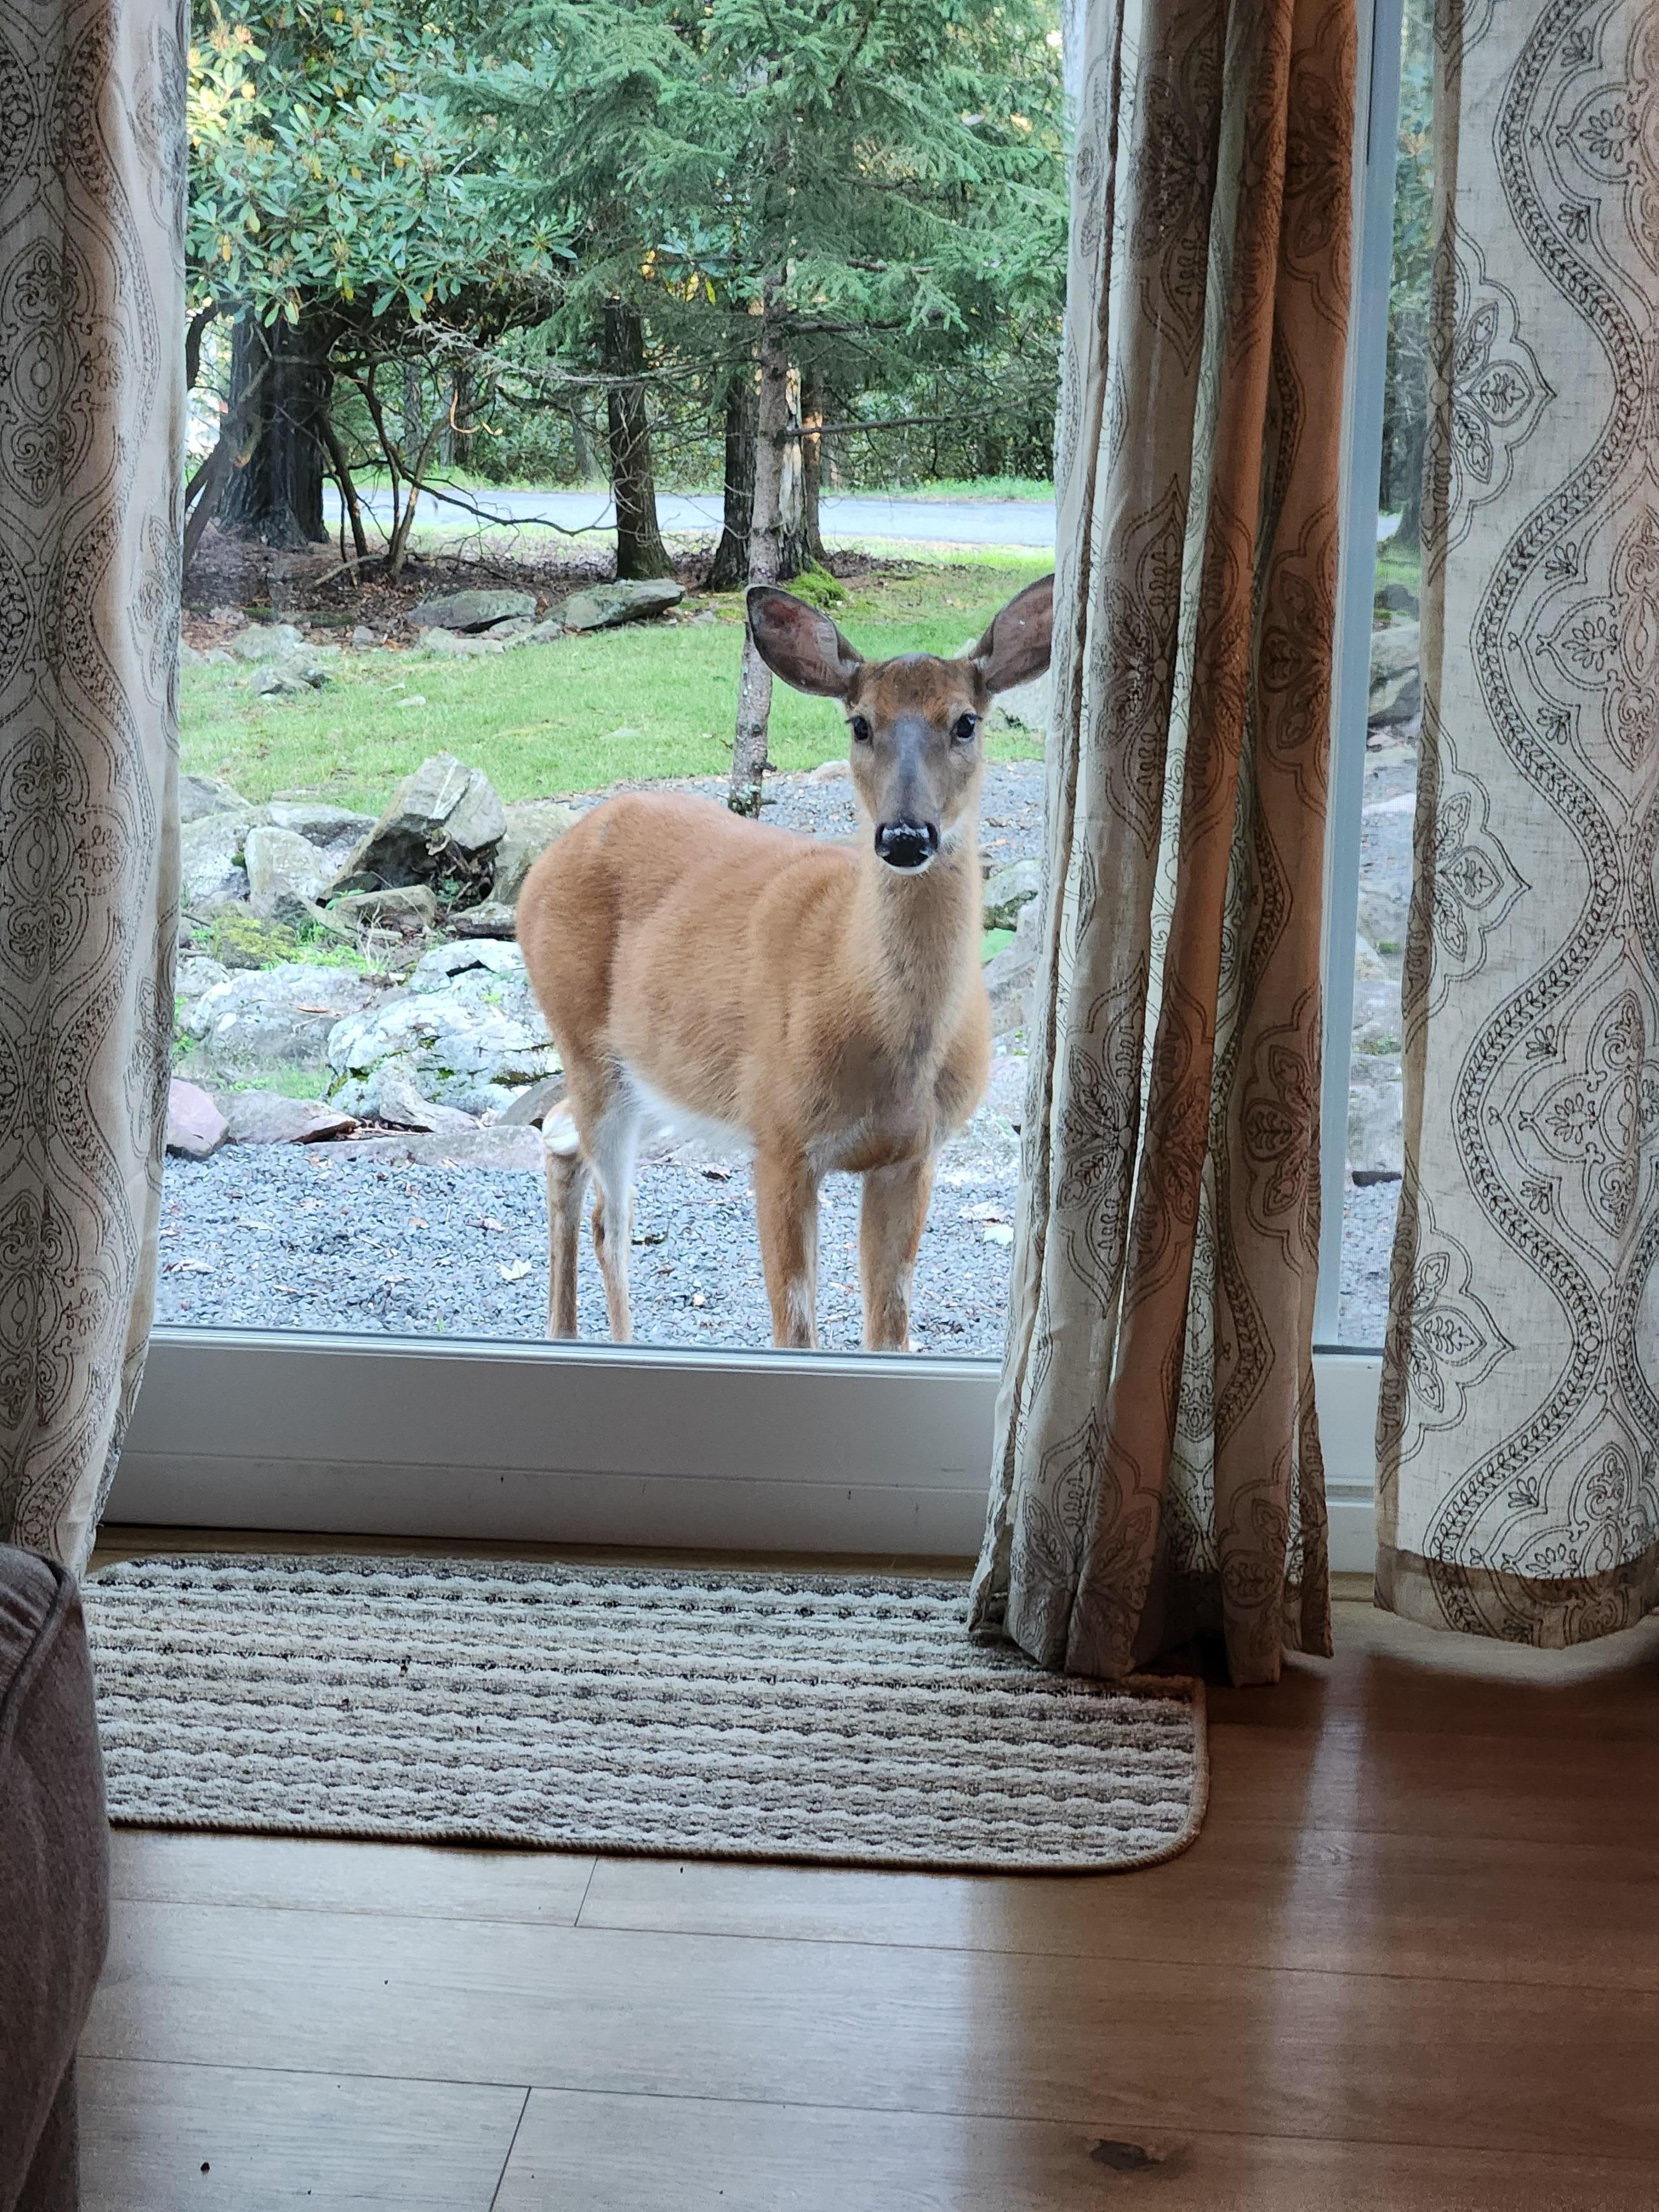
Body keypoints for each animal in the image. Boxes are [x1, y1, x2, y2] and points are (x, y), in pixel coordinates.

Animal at [514, 572, 1053, 1352]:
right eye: (859, 723)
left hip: (662, 1074)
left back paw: (561, 1331)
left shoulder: (913, 1154)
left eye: (965, 722)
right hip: (586, 1039)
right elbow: (795, 1328)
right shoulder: (779, 1136)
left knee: (558, 1136)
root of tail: (545, 861)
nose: (905, 835)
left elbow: (889, 1326)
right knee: (611, 1223)